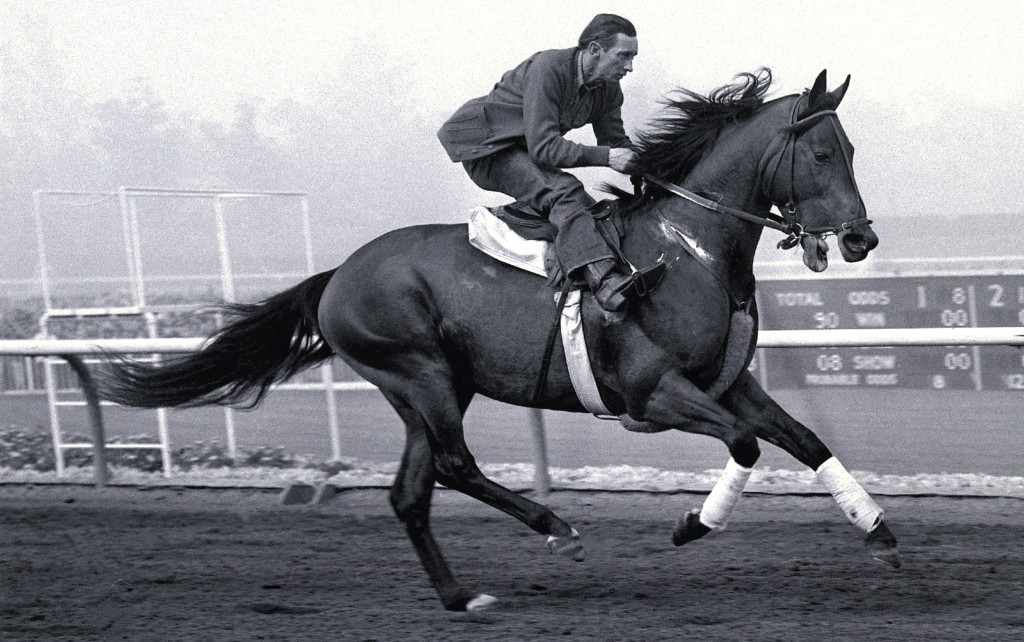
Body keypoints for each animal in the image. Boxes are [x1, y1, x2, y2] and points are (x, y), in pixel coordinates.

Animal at [95, 69, 898, 612]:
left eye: (853, 149)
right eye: (821, 155)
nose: (860, 239)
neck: (688, 246)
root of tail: (336, 278)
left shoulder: (730, 382)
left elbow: (805, 441)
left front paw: (877, 527)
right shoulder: (654, 392)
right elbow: (745, 446)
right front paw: (691, 525)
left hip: (425, 390)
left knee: (410, 493)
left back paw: (460, 596)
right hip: (422, 375)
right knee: (454, 466)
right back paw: (554, 525)